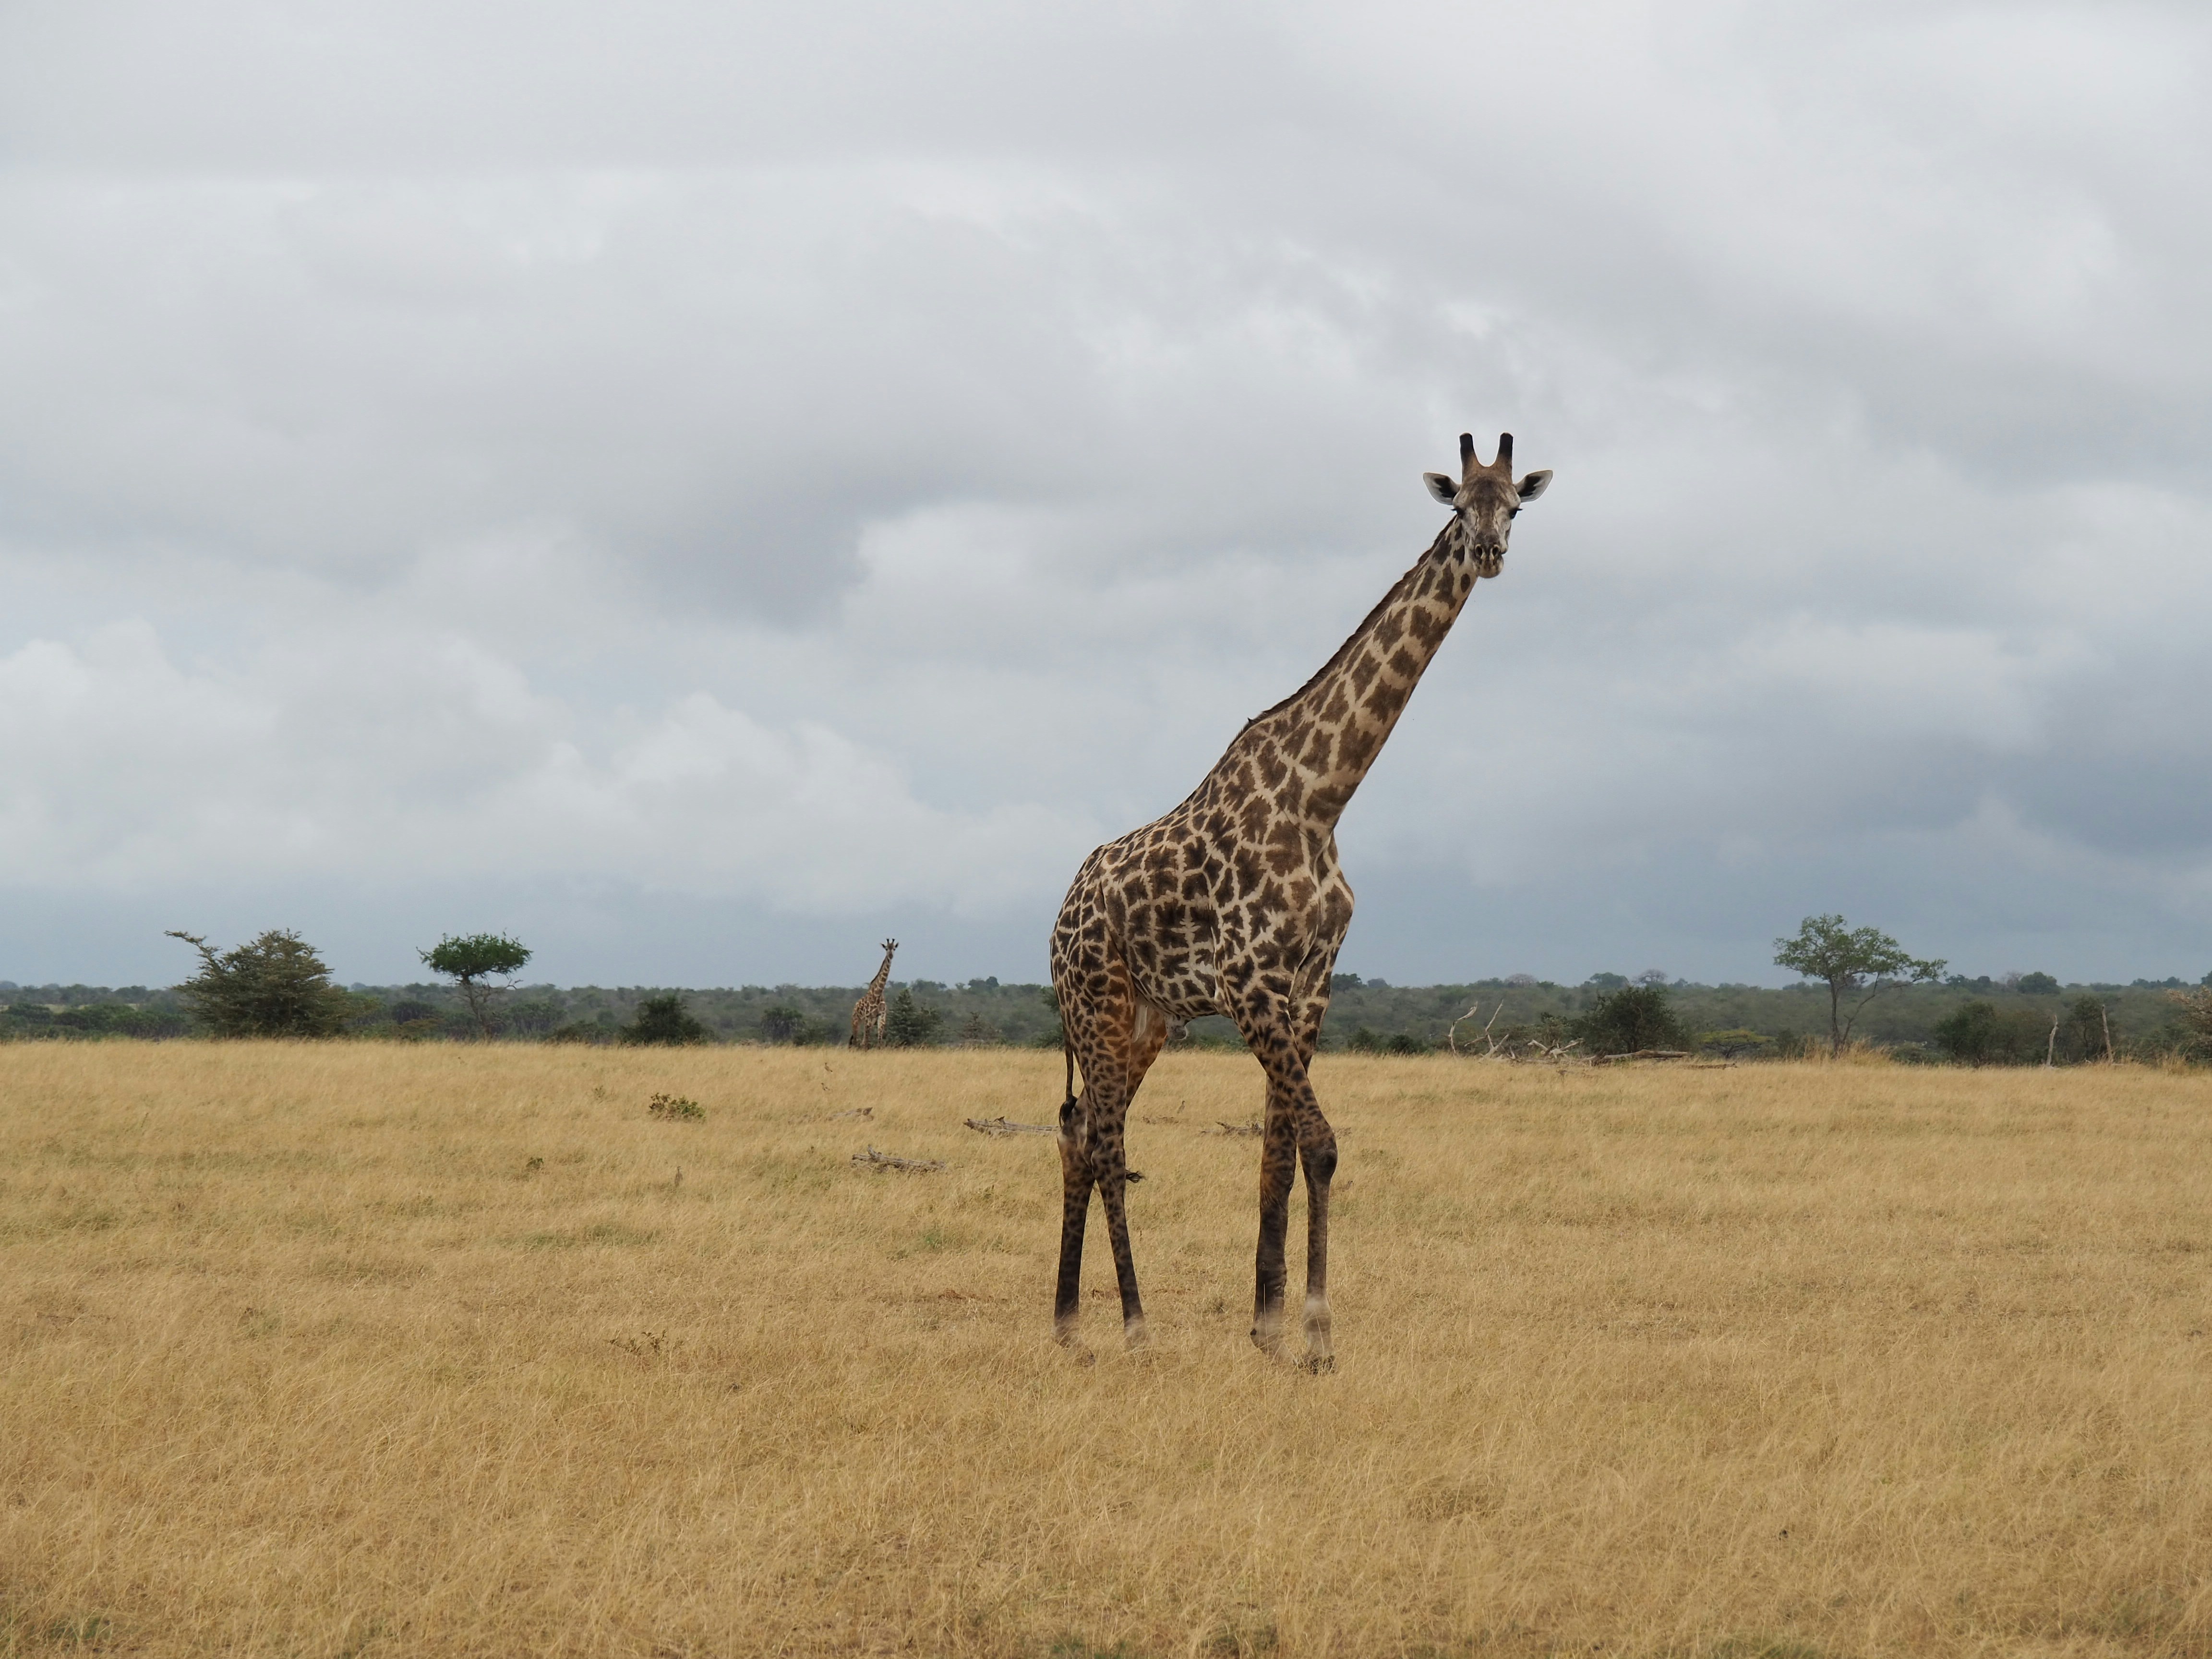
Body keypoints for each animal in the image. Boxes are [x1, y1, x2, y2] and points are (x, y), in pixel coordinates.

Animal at [848, 939, 898, 1049]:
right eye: (886, 948)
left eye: (894, 949)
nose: (891, 955)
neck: (878, 994)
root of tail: (855, 1007)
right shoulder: (868, 1017)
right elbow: (866, 1043)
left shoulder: (881, 1017)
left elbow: (879, 1043)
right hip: (856, 1021)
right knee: (856, 1041)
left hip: (869, 1022)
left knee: (861, 1041)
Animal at [1049, 431, 1551, 1368]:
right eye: (1456, 504)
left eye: (1514, 505)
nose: (1489, 551)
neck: (1321, 798)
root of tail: (1058, 916)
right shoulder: (1250, 982)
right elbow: (1318, 1145)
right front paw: (1311, 1332)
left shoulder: (1310, 983)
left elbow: (1280, 1155)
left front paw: (1273, 1323)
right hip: (1095, 1002)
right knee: (1103, 1141)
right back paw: (1132, 1323)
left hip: (1147, 1019)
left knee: (1078, 1133)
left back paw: (1065, 1321)